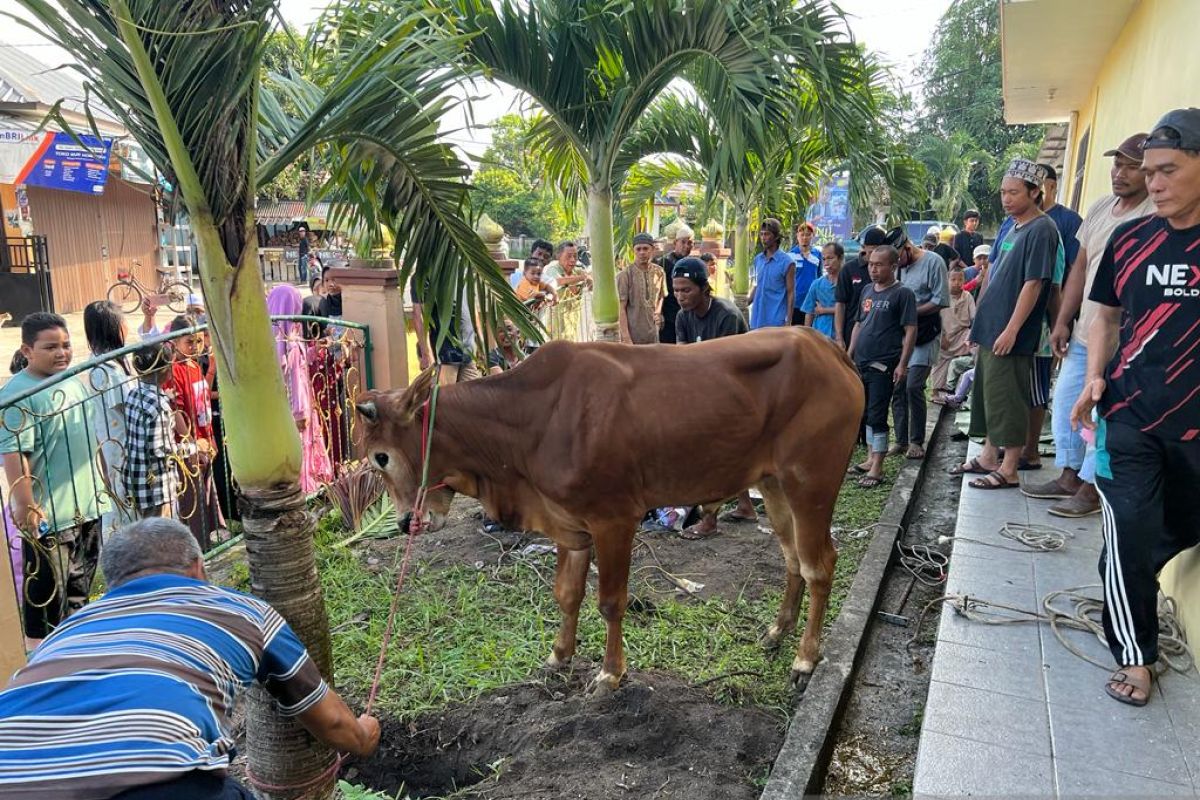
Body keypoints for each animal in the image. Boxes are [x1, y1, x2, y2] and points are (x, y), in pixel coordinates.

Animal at [355, 326, 864, 695]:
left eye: (381, 457)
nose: (406, 522)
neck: (526, 423)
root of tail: (827, 348)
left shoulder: (614, 519)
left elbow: (610, 602)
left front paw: (609, 674)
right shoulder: (569, 524)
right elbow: (566, 595)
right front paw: (558, 657)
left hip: (811, 482)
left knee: (820, 565)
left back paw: (805, 659)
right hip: (774, 483)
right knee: (791, 557)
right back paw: (778, 631)